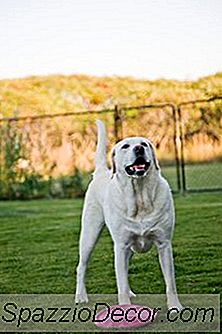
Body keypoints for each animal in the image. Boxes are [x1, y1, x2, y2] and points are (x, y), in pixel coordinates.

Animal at [75, 119, 182, 308]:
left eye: (144, 144)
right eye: (125, 146)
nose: (139, 148)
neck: (140, 198)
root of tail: (102, 172)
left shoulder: (164, 244)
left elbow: (170, 282)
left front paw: (175, 307)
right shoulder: (121, 245)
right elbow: (121, 282)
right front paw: (124, 308)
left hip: (129, 248)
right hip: (90, 235)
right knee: (81, 267)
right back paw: (81, 296)